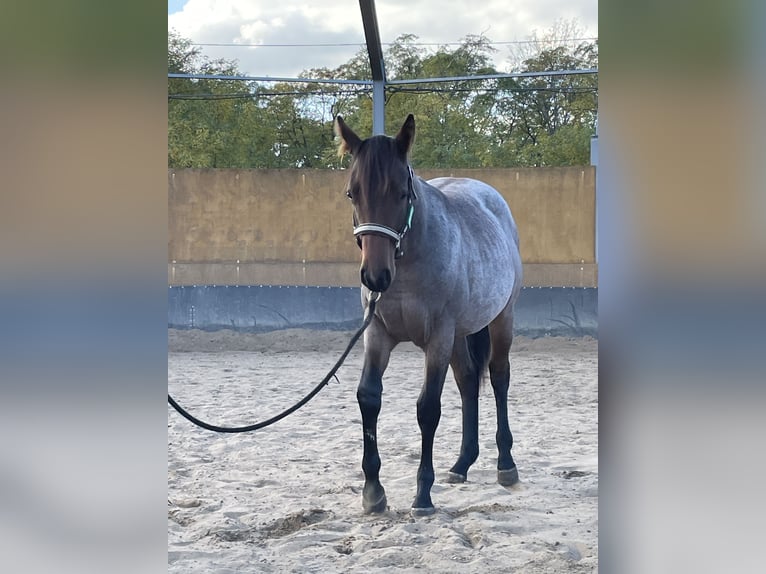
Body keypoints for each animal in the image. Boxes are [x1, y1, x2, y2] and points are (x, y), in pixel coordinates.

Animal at [334, 113, 520, 516]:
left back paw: (506, 464)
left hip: (501, 319)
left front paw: (422, 495)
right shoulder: (377, 334)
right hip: (460, 335)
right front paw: (373, 491)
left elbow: (428, 408)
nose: (375, 276)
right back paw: (462, 463)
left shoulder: (437, 338)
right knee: (468, 380)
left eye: (401, 193)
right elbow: (368, 397)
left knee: (499, 377)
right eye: (352, 193)